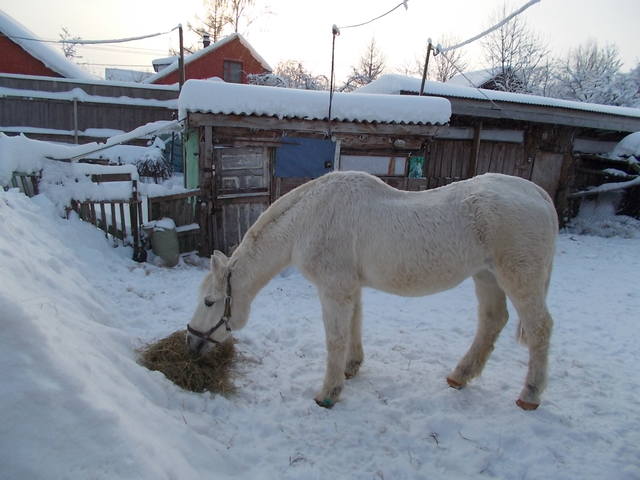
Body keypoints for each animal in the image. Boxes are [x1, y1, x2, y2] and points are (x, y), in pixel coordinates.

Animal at [185, 171, 556, 410]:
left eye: (209, 301)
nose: (190, 343)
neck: (308, 220)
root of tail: (538, 194)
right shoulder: (351, 288)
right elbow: (354, 327)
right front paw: (351, 369)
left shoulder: (334, 290)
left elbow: (335, 339)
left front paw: (329, 393)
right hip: (486, 276)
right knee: (492, 321)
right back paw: (459, 377)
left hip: (519, 279)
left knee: (539, 329)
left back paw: (529, 396)